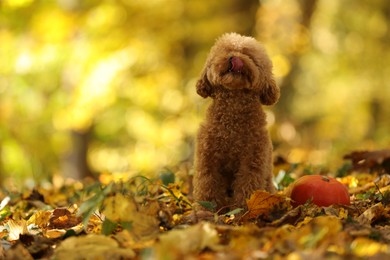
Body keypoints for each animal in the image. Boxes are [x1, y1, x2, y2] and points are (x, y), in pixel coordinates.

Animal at [193, 33, 278, 211]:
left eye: (249, 55)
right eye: (226, 51)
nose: (235, 58)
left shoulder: (252, 160)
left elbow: (247, 185)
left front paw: (244, 210)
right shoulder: (207, 158)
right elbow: (207, 185)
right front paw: (207, 209)